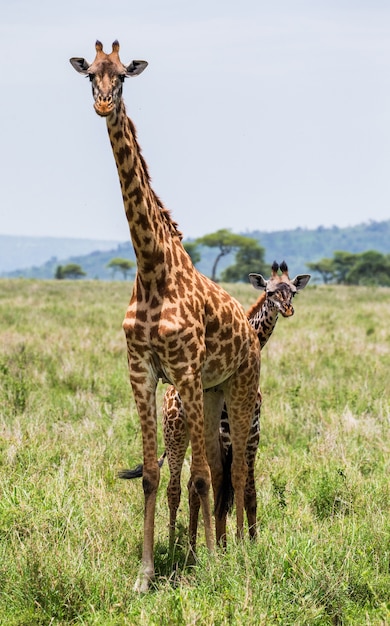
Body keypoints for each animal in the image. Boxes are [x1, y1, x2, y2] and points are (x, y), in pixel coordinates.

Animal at [71, 40, 258, 588]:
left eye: (122, 76)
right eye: (89, 74)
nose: (103, 104)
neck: (152, 267)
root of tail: (249, 330)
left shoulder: (186, 369)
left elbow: (201, 476)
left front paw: (209, 564)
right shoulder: (142, 370)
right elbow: (153, 474)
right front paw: (146, 572)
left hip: (238, 383)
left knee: (233, 470)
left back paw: (237, 549)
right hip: (214, 391)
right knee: (217, 464)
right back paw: (219, 545)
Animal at [122, 260, 310, 548]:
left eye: (293, 292)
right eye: (269, 292)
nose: (287, 309)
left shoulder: (252, 433)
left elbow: (245, 489)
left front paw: (247, 542)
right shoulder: (228, 435)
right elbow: (219, 487)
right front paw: (226, 544)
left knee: (194, 485)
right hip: (175, 434)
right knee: (176, 487)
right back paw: (176, 543)